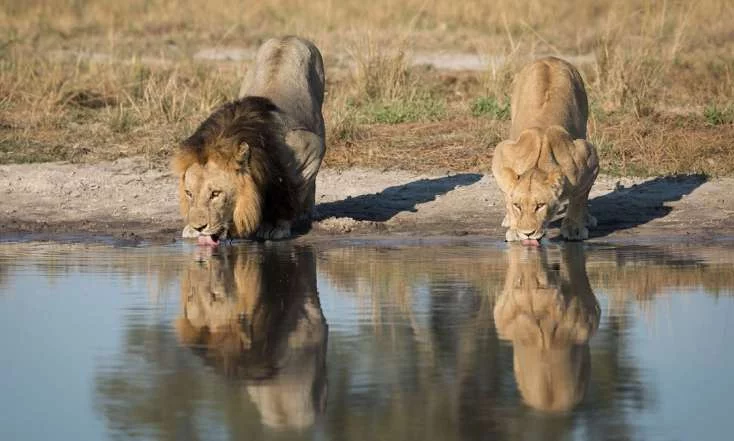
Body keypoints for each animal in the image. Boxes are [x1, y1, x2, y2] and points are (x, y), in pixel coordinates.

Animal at [172, 37, 324, 244]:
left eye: (215, 194)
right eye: (189, 193)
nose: (198, 227)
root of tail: (289, 37)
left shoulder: (310, 147)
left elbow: (291, 190)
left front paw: (277, 225)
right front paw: (190, 229)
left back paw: (307, 212)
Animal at [492, 55, 600, 242]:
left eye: (540, 205)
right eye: (518, 205)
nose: (527, 233)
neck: (537, 165)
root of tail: (550, 58)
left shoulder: (589, 158)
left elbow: (579, 197)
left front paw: (574, 228)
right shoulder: (502, 154)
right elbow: (507, 190)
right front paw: (513, 227)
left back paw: (587, 218)